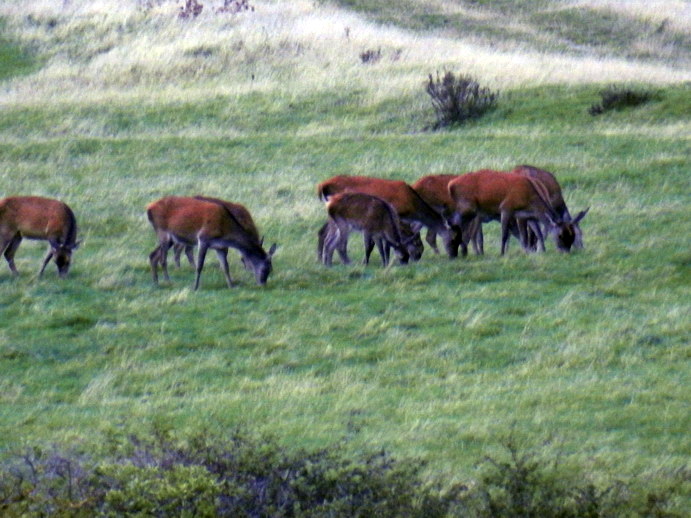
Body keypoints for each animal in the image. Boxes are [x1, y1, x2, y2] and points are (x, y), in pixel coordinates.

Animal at [147, 196, 278, 290]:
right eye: (265, 269)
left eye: (270, 269)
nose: (262, 284)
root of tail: (149, 208)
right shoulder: (203, 239)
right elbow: (200, 266)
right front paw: (195, 287)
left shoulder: (220, 247)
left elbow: (225, 266)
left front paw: (231, 286)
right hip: (163, 232)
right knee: (163, 259)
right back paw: (168, 281)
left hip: (171, 238)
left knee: (153, 255)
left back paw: (155, 282)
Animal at [316, 175, 456, 256]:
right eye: (454, 237)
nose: (453, 256)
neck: (412, 206)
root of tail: (322, 185)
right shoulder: (397, 215)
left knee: (323, 231)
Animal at [448, 171, 584, 256]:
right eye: (560, 235)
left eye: (572, 235)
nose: (566, 251)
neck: (528, 198)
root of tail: (451, 185)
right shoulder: (506, 207)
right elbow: (505, 234)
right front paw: (502, 253)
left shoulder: (528, 216)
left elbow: (536, 233)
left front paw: (540, 251)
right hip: (467, 206)